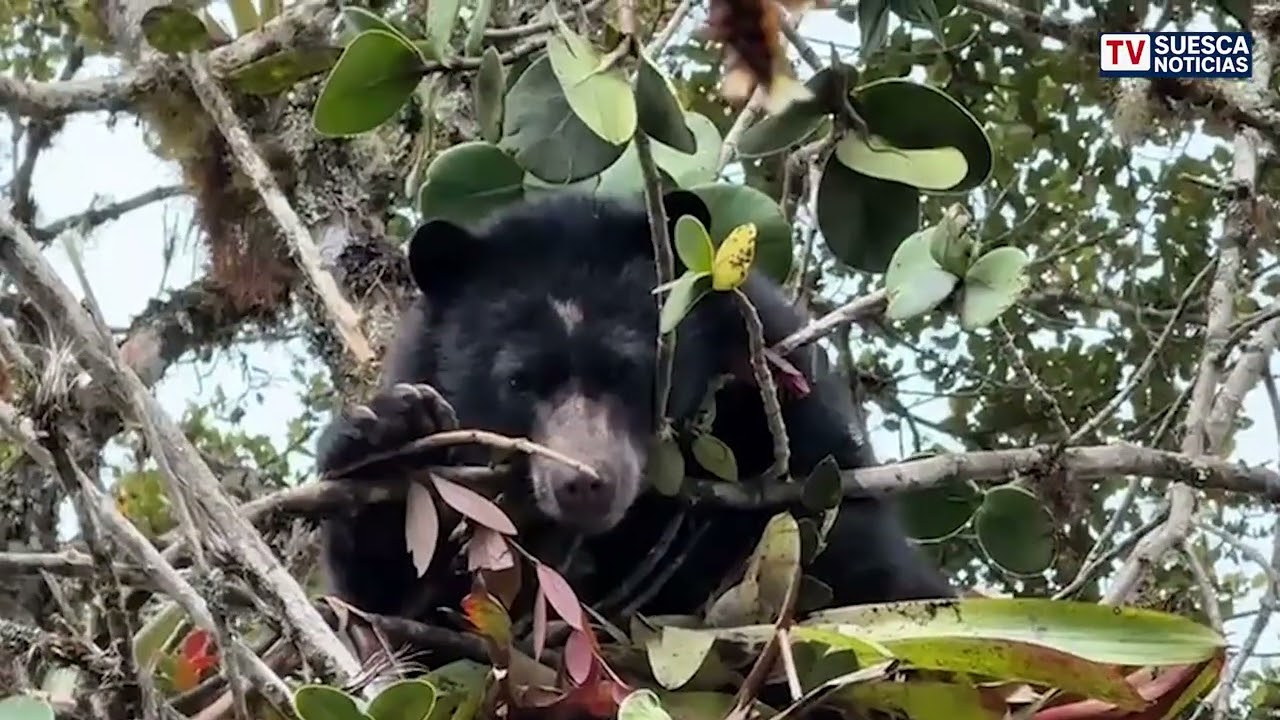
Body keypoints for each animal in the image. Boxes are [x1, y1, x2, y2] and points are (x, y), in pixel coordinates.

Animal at [313, 189, 953, 633]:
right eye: (517, 381)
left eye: (627, 368)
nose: (584, 482)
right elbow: (399, 616)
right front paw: (384, 437)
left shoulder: (784, 393)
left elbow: (858, 556)